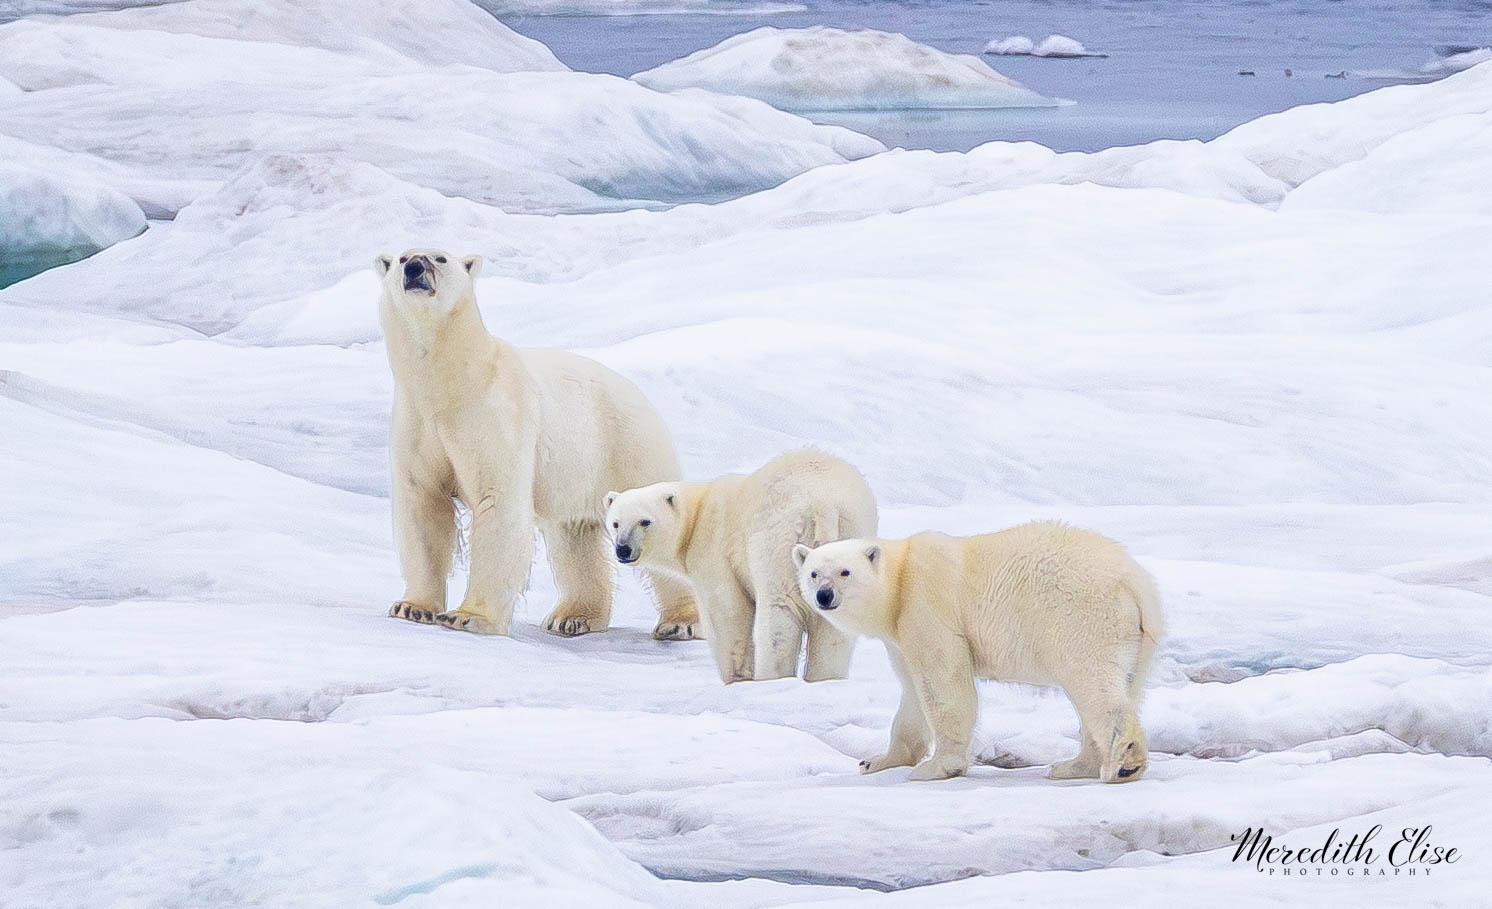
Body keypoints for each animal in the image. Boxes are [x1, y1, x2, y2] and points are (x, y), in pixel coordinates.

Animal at [375, 248, 699, 640]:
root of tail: (644, 397)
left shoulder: (495, 418)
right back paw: (572, 617)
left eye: (440, 258)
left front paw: (468, 617)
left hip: (628, 447)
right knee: (573, 536)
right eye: (402, 257)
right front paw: (412, 607)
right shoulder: (417, 425)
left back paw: (681, 621)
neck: (453, 383)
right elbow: (423, 506)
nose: (415, 268)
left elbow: (497, 503)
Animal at [604, 450, 877, 684]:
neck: (698, 511)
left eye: (645, 521)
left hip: (778, 537)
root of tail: (823, 503)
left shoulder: (715, 548)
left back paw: (771, 677)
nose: (623, 550)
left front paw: (736, 677)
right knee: (834, 629)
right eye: (616, 523)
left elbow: (729, 613)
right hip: (851, 529)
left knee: (779, 614)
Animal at [793, 520, 1162, 783]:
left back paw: (1122, 764)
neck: (899, 582)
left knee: (1093, 684)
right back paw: (1074, 765)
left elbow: (942, 682)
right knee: (1123, 684)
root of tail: (1135, 583)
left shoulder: (926, 607)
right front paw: (876, 761)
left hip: (1080, 616)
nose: (824, 595)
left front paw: (936, 768)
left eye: (845, 572)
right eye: (813, 573)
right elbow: (911, 693)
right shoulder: (899, 635)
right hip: (1135, 639)